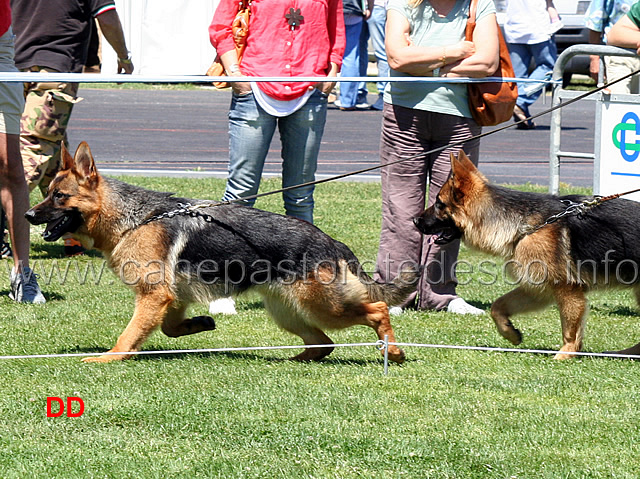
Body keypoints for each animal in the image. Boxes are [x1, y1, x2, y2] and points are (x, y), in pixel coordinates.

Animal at [26, 142, 416, 364]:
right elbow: (169, 328)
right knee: (324, 344)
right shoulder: (171, 299)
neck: (132, 219)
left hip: (324, 307)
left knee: (377, 311)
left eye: (59, 196)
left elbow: (130, 334)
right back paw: (295, 360)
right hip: (291, 314)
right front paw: (200, 324)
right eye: (48, 193)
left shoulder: (153, 296)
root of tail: (331, 242)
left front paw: (108, 359)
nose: (28, 215)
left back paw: (393, 351)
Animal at [412, 152, 640, 358]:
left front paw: (565, 355)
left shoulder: (567, 290)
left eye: (439, 204)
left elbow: (570, 330)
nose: (414, 220)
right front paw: (510, 333)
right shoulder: (538, 289)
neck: (528, 226)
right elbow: (497, 306)